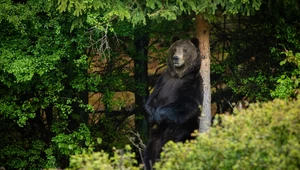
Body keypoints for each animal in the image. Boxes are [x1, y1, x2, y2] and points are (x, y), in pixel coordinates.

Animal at [144, 36, 204, 169]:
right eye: (175, 49)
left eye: (185, 50)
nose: (176, 58)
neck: (178, 75)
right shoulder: (163, 81)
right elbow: (151, 100)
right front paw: (152, 115)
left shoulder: (192, 83)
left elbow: (187, 104)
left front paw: (158, 114)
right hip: (157, 134)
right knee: (151, 150)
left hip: (183, 129)